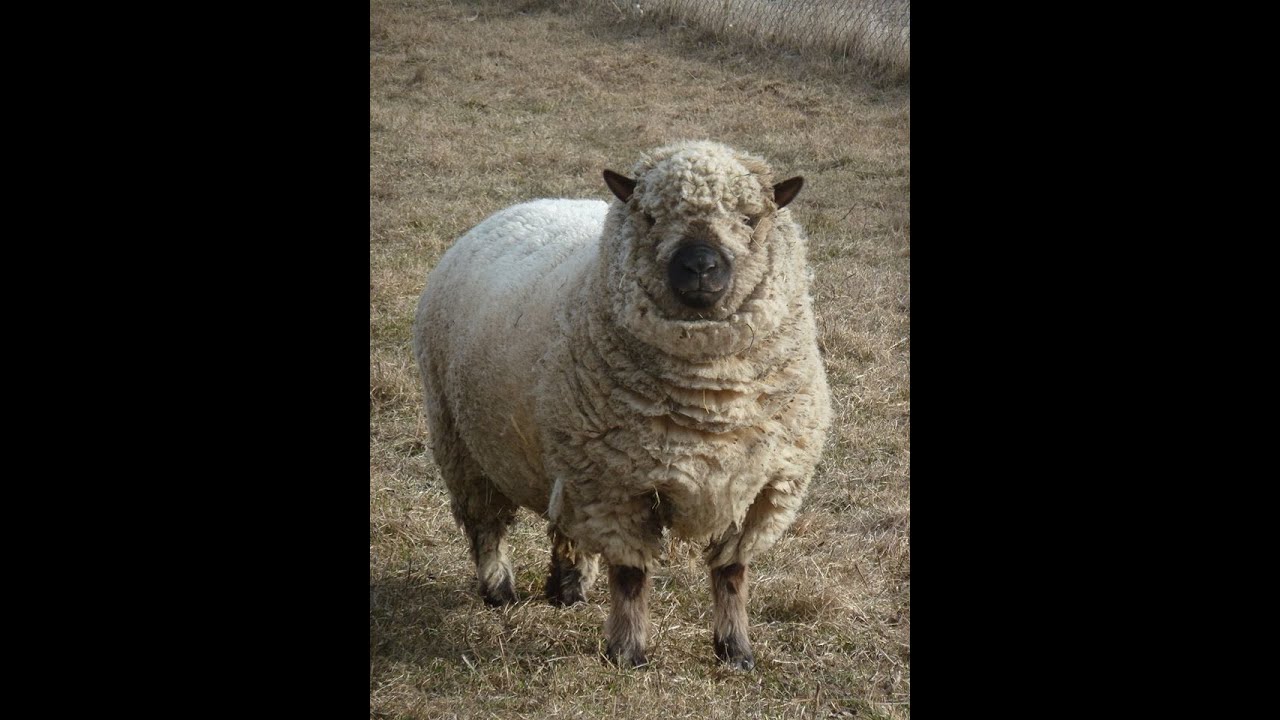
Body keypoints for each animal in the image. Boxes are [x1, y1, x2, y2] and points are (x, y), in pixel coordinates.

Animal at [412, 140, 832, 670]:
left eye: (751, 219)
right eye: (650, 217)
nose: (699, 267)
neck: (712, 401)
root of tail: (526, 204)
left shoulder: (761, 487)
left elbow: (732, 573)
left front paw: (736, 650)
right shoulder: (617, 486)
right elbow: (631, 577)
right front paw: (629, 652)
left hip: (569, 458)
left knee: (565, 527)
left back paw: (568, 589)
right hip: (463, 443)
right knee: (485, 524)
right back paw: (499, 590)